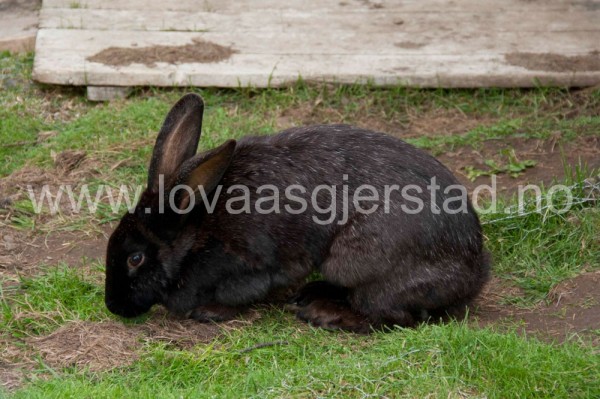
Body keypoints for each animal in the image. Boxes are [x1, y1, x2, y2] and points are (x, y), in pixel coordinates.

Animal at [105, 92, 490, 332]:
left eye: (135, 258)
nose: (114, 307)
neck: (195, 232)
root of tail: (474, 273)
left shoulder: (247, 265)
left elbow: (239, 295)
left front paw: (209, 312)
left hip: (358, 260)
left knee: (391, 314)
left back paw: (326, 315)